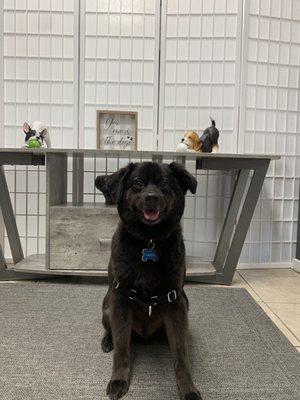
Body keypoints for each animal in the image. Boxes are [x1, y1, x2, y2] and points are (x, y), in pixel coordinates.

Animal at [98, 162, 202, 400]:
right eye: (137, 183)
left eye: (164, 183)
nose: (151, 197)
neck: (149, 241)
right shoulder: (120, 300)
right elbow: (122, 349)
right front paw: (118, 380)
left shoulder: (175, 303)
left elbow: (181, 355)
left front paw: (188, 389)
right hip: (107, 308)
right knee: (113, 333)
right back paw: (108, 340)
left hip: (185, 306)